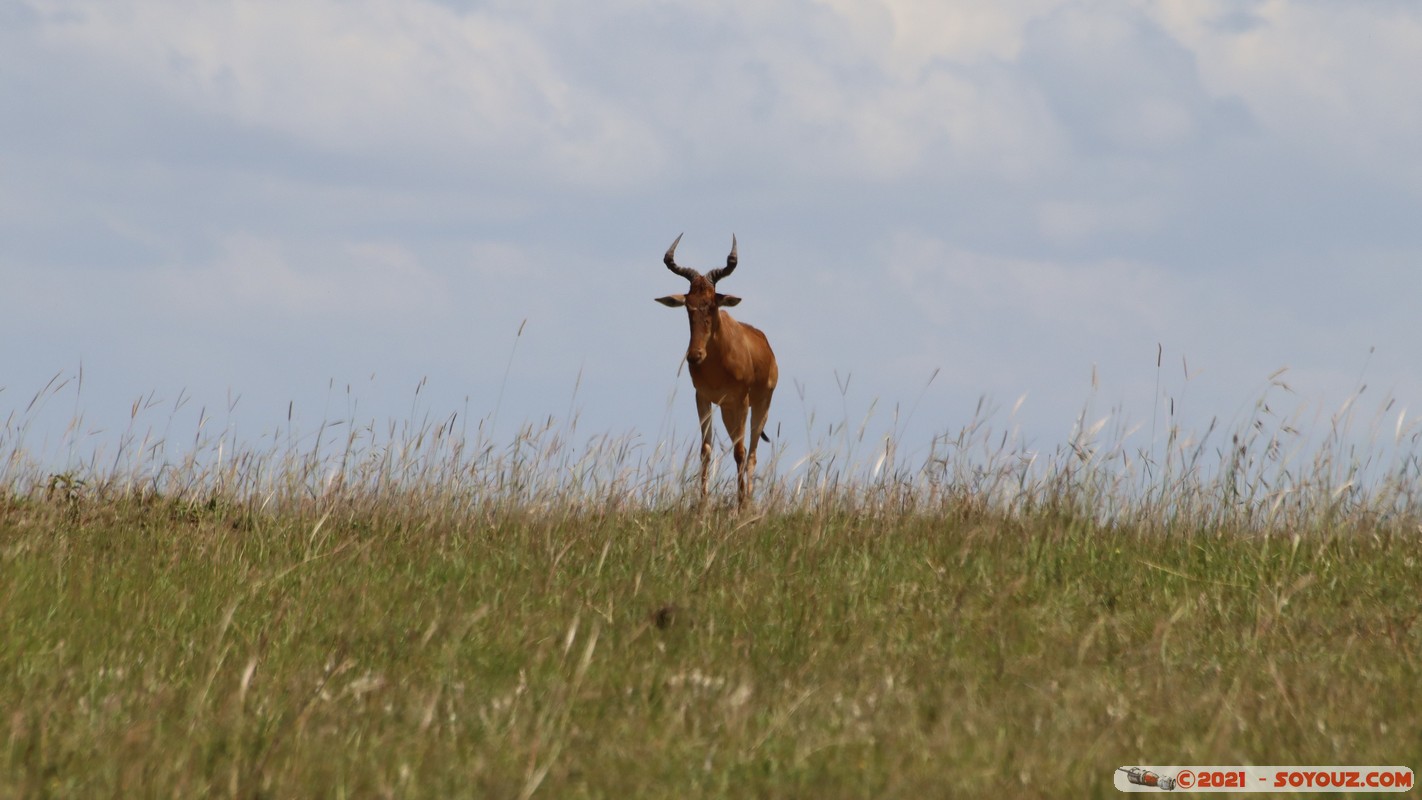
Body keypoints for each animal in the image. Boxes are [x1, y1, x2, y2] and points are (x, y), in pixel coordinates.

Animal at [654, 233, 779, 505]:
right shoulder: (703, 398)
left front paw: (741, 504)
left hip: (760, 405)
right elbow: (706, 450)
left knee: (751, 452)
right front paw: (702, 504)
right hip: (726, 410)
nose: (694, 355)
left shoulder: (741, 400)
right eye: (688, 305)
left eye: (712, 304)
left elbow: (741, 452)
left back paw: (748, 501)